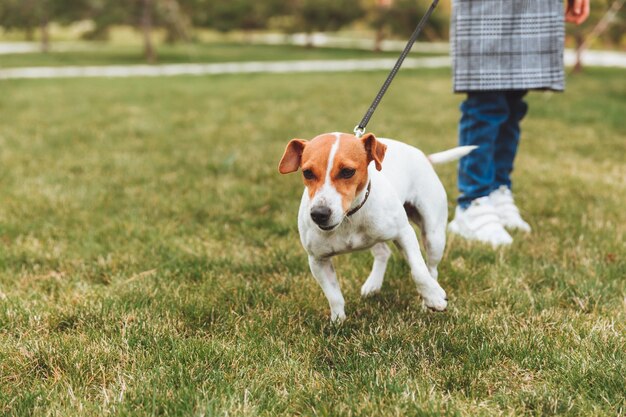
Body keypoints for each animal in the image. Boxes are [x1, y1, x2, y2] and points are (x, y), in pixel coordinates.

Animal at [278, 132, 472, 320]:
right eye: (307, 173)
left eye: (347, 172)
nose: (319, 214)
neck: (349, 217)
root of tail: (422, 155)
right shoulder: (318, 260)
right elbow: (333, 295)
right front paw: (338, 321)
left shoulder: (404, 234)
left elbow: (419, 270)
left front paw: (433, 298)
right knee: (383, 253)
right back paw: (373, 284)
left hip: (433, 236)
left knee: (431, 268)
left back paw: (429, 299)